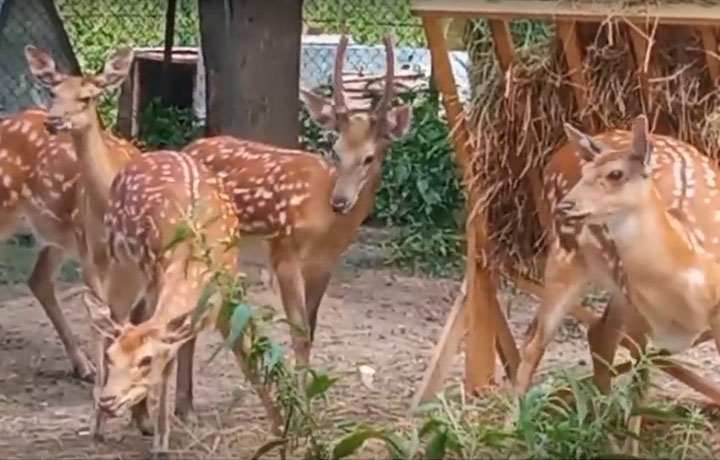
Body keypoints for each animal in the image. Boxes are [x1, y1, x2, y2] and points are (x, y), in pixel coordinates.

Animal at [22, 45, 197, 438]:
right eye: (53, 92)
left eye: (87, 96)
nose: (53, 121)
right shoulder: (92, 256)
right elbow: (105, 326)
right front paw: (106, 414)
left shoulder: (139, 272)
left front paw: (141, 416)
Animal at [183, 35, 414, 374]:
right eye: (335, 150)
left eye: (369, 158)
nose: (340, 201)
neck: (326, 227)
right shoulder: (285, 253)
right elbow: (300, 335)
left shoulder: (325, 265)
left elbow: (312, 332)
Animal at [516, 113, 720, 398]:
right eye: (586, 173)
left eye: (615, 174)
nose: (566, 206)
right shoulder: (638, 310)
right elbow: (638, 384)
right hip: (565, 256)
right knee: (535, 340)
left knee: (598, 334)